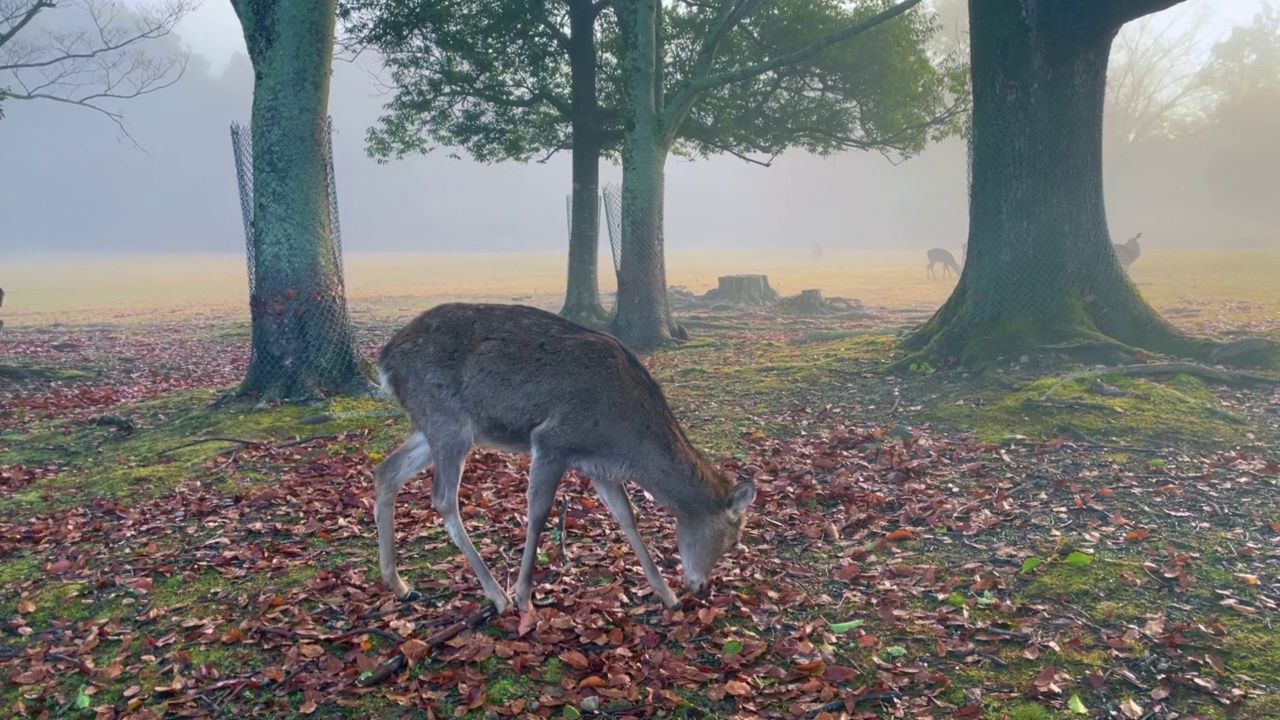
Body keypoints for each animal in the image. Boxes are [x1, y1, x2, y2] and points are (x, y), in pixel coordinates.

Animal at [371, 301, 752, 609]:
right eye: (733, 540)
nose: (699, 587)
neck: (625, 439)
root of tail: (385, 360)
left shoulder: (599, 467)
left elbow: (626, 516)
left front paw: (667, 596)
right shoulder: (552, 440)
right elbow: (538, 512)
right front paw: (525, 597)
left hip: (433, 426)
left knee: (387, 470)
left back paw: (400, 585)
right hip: (448, 421)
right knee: (442, 497)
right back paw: (498, 596)